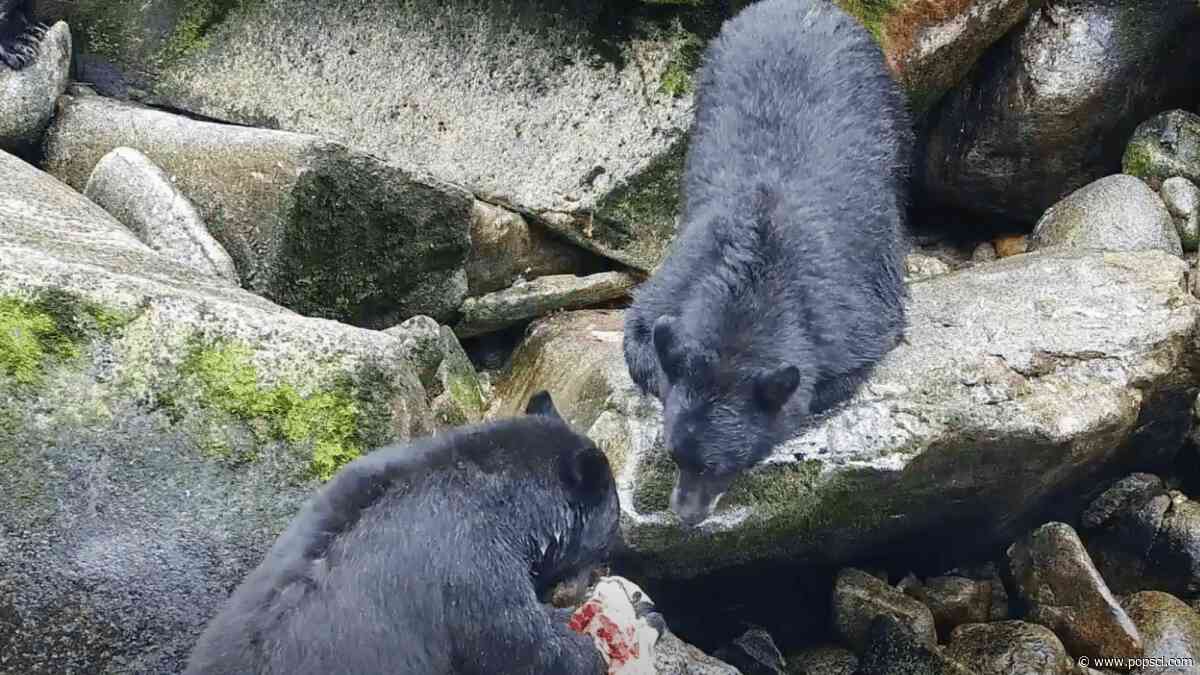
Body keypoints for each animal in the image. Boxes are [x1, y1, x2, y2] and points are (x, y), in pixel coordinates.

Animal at [623, 0, 911, 526]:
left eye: (719, 466)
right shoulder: (688, 266)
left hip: (890, 105)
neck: (754, 279)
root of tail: (797, 6)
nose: (684, 515)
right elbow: (642, 333)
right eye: (675, 456)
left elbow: (839, 368)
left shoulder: (844, 313)